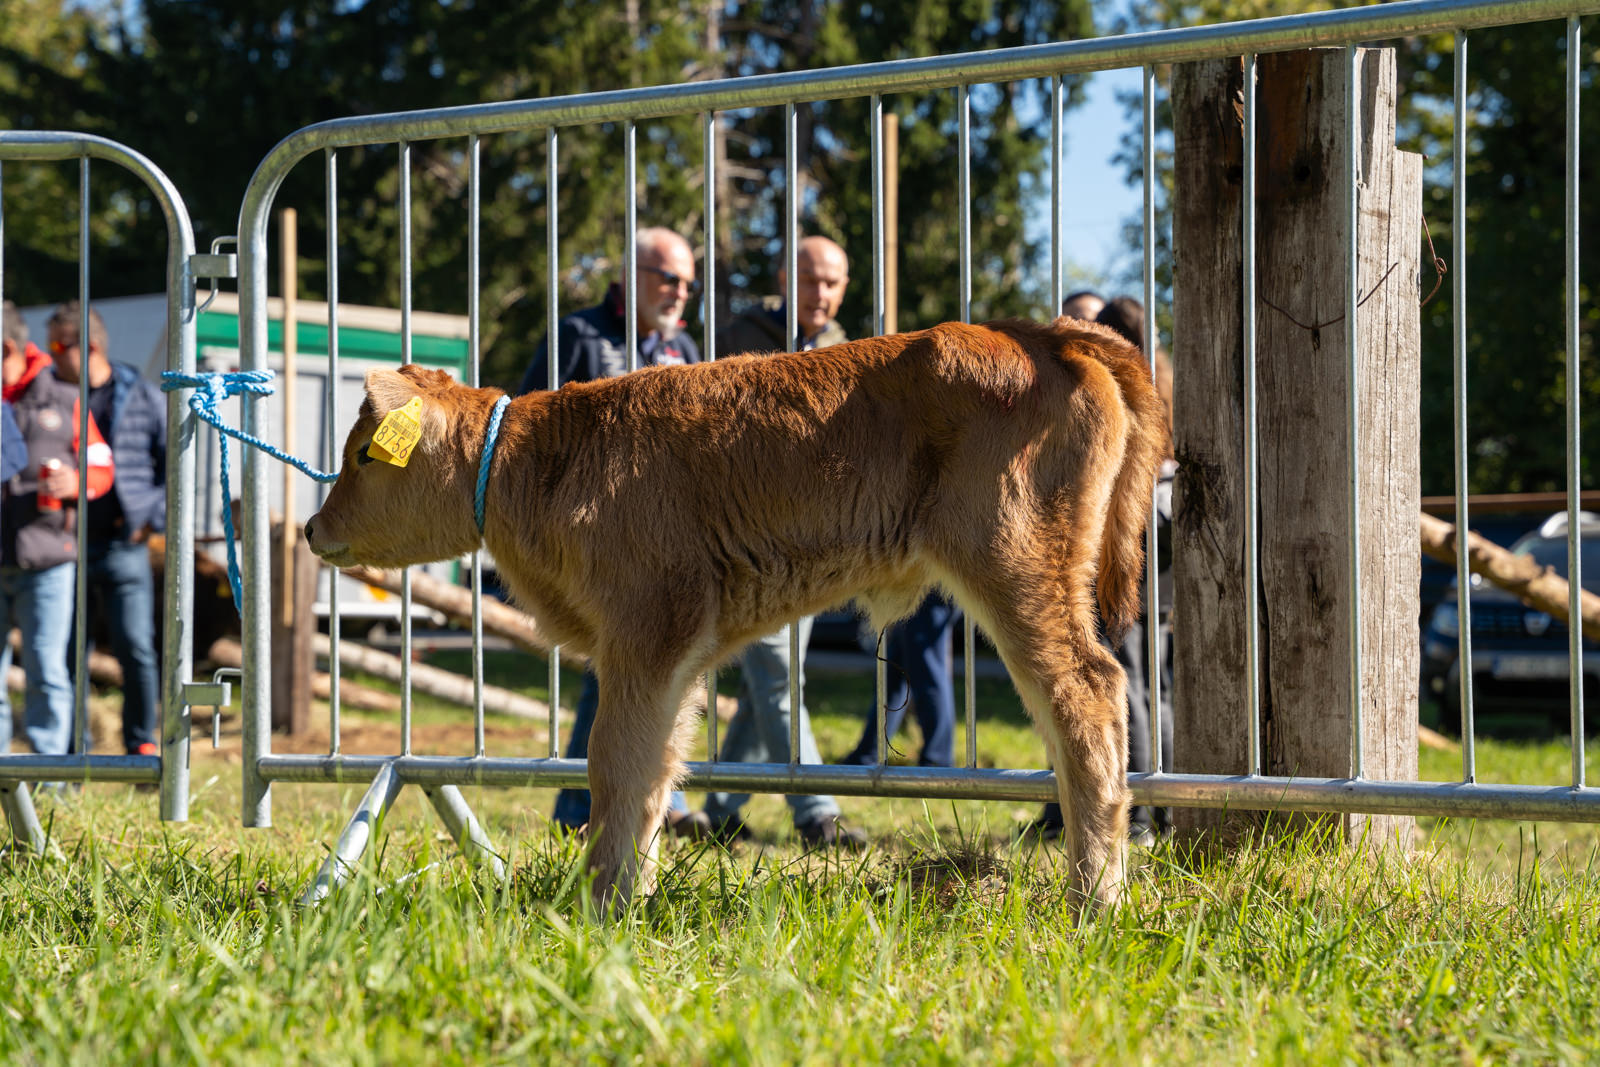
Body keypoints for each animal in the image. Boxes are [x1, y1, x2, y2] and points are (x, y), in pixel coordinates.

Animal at [303, 317, 1168, 913]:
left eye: (363, 454)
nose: (311, 527)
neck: (539, 462)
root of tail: (1038, 333)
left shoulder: (644, 628)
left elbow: (613, 761)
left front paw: (598, 904)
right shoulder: (676, 652)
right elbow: (657, 769)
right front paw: (636, 895)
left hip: (1019, 566)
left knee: (1087, 696)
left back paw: (1092, 899)